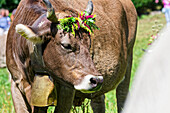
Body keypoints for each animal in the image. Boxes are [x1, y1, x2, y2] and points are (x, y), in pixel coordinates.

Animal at [5, 0, 137, 112]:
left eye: (89, 44)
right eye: (66, 45)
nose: (97, 80)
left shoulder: (67, 89)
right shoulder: (16, 83)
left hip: (128, 63)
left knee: (122, 96)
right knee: (98, 102)